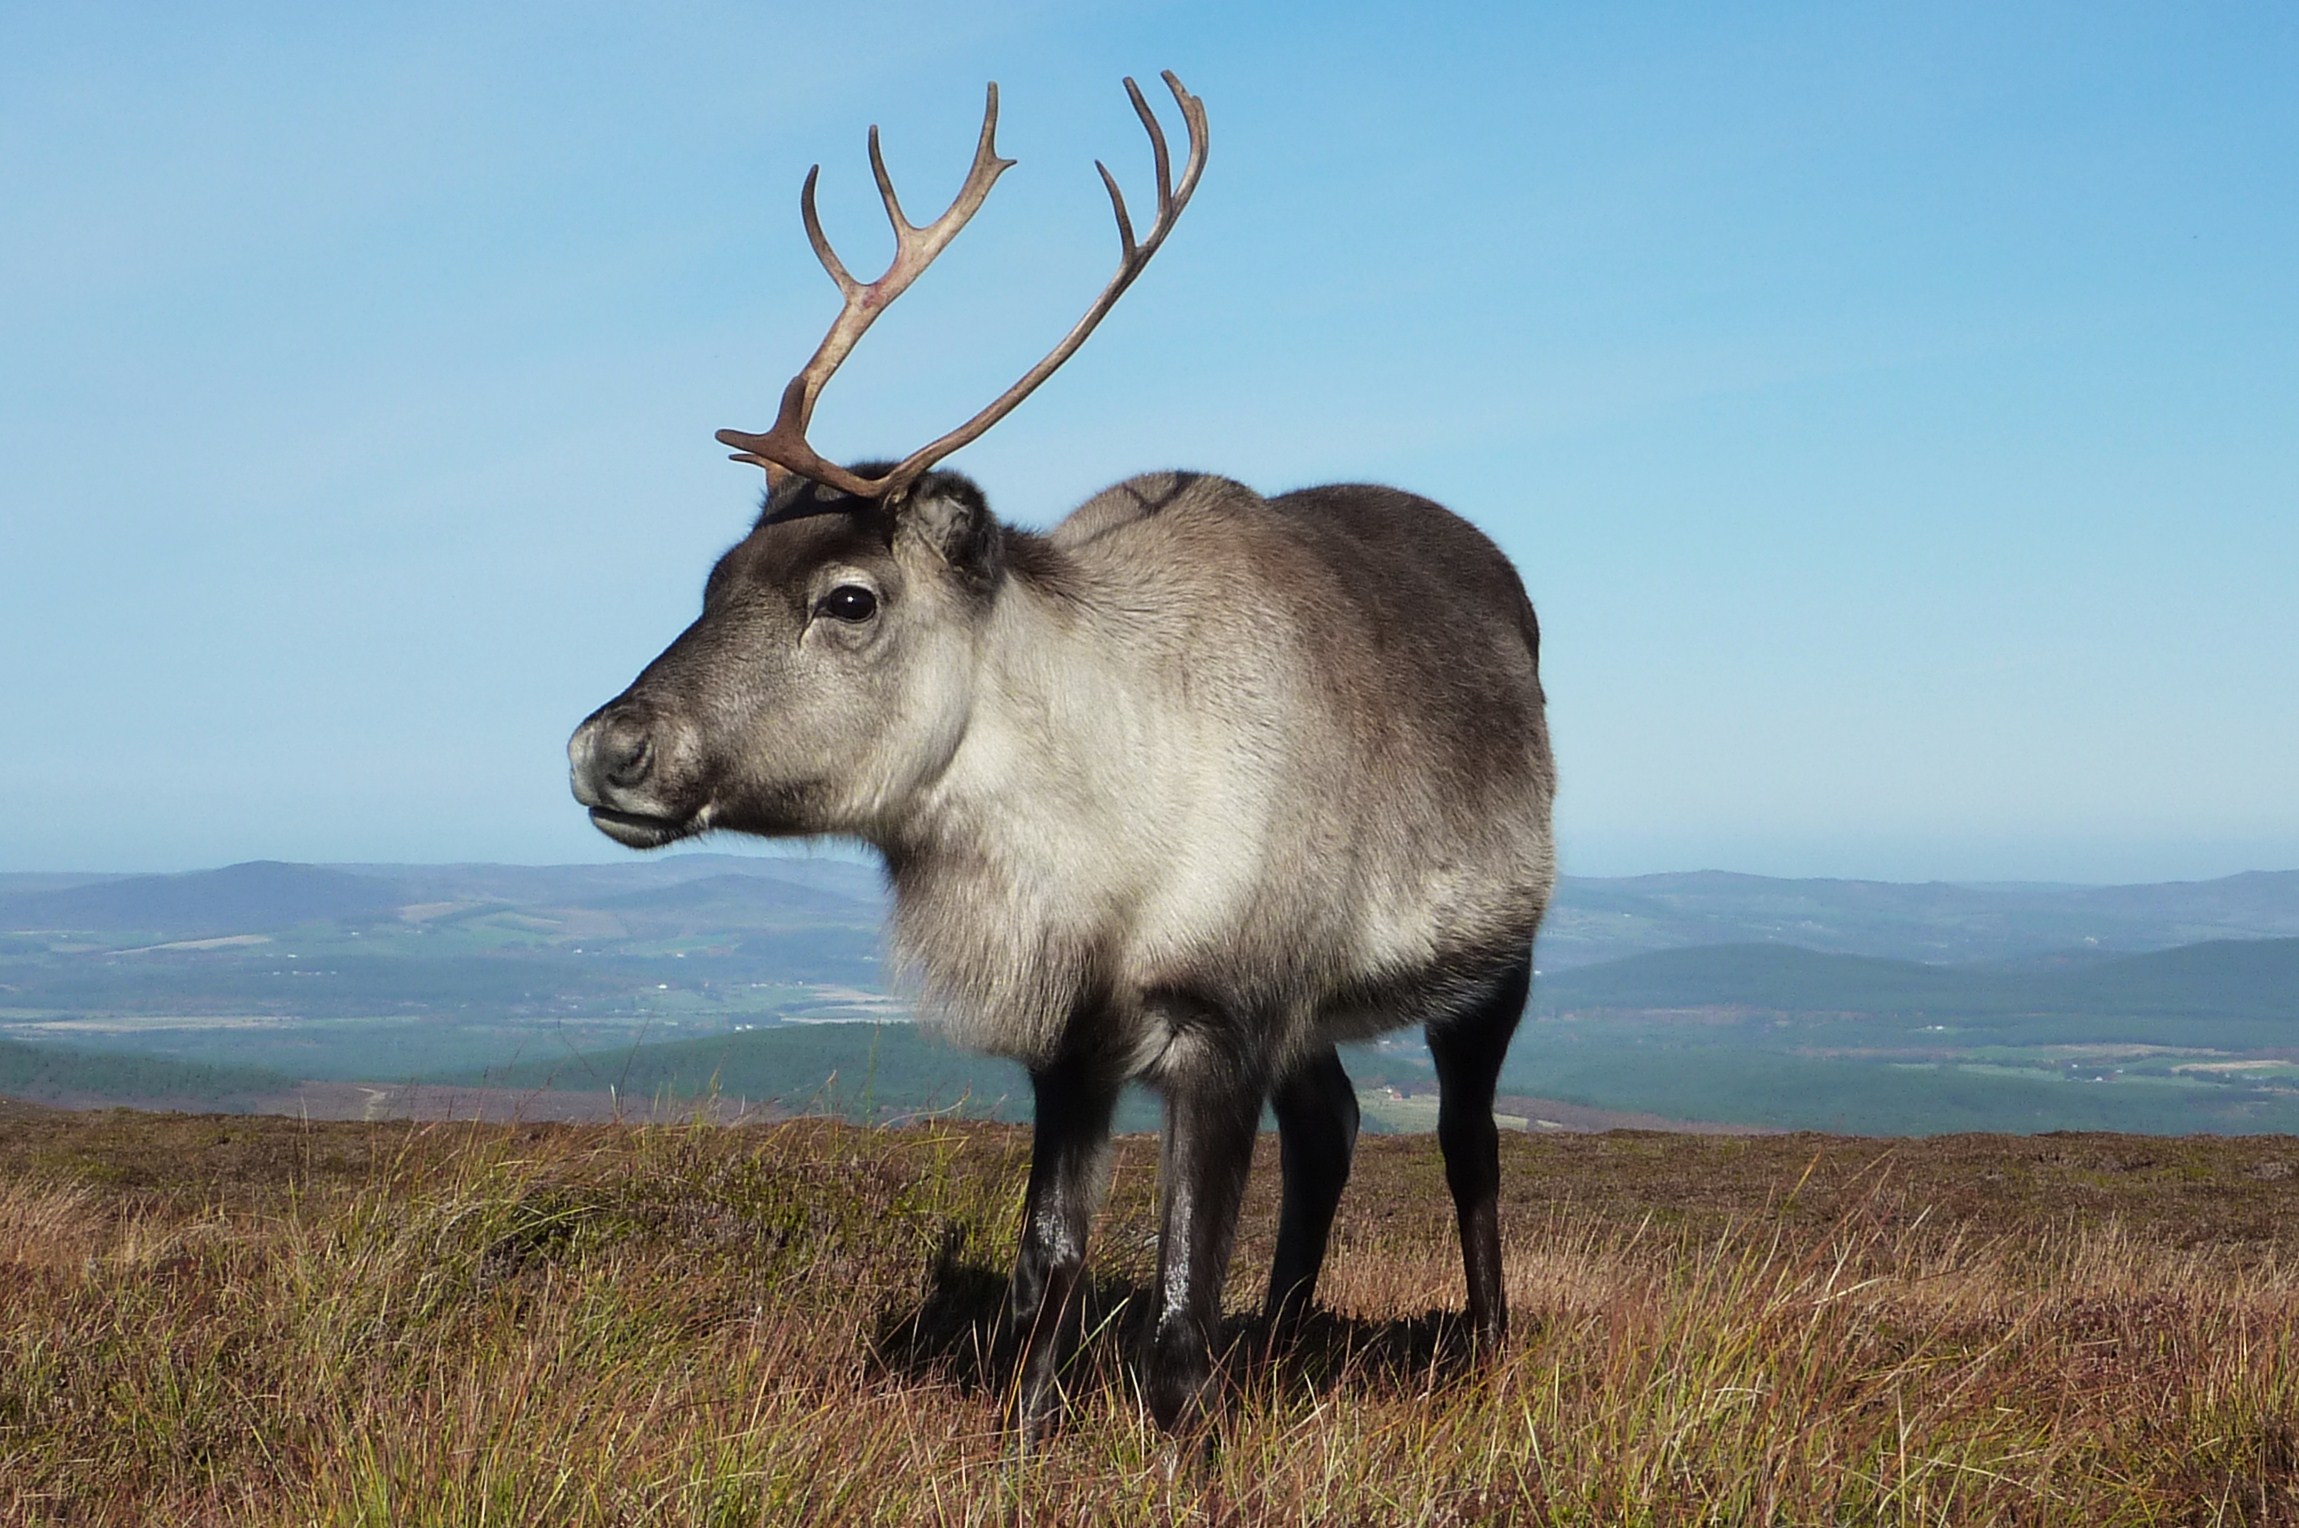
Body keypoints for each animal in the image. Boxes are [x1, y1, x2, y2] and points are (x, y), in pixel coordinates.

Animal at [567, 73, 1556, 1436]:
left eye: (849, 598)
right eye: (714, 579)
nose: (607, 745)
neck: (1095, 820)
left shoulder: (1221, 1020)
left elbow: (1178, 1310)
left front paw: (1188, 1439)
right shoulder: (1074, 1039)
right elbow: (1050, 1256)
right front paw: (1028, 1432)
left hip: (1489, 963)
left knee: (1467, 1141)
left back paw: (1484, 1343)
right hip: (1313, 1016)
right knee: (1334, 1127)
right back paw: (1280, 1342)